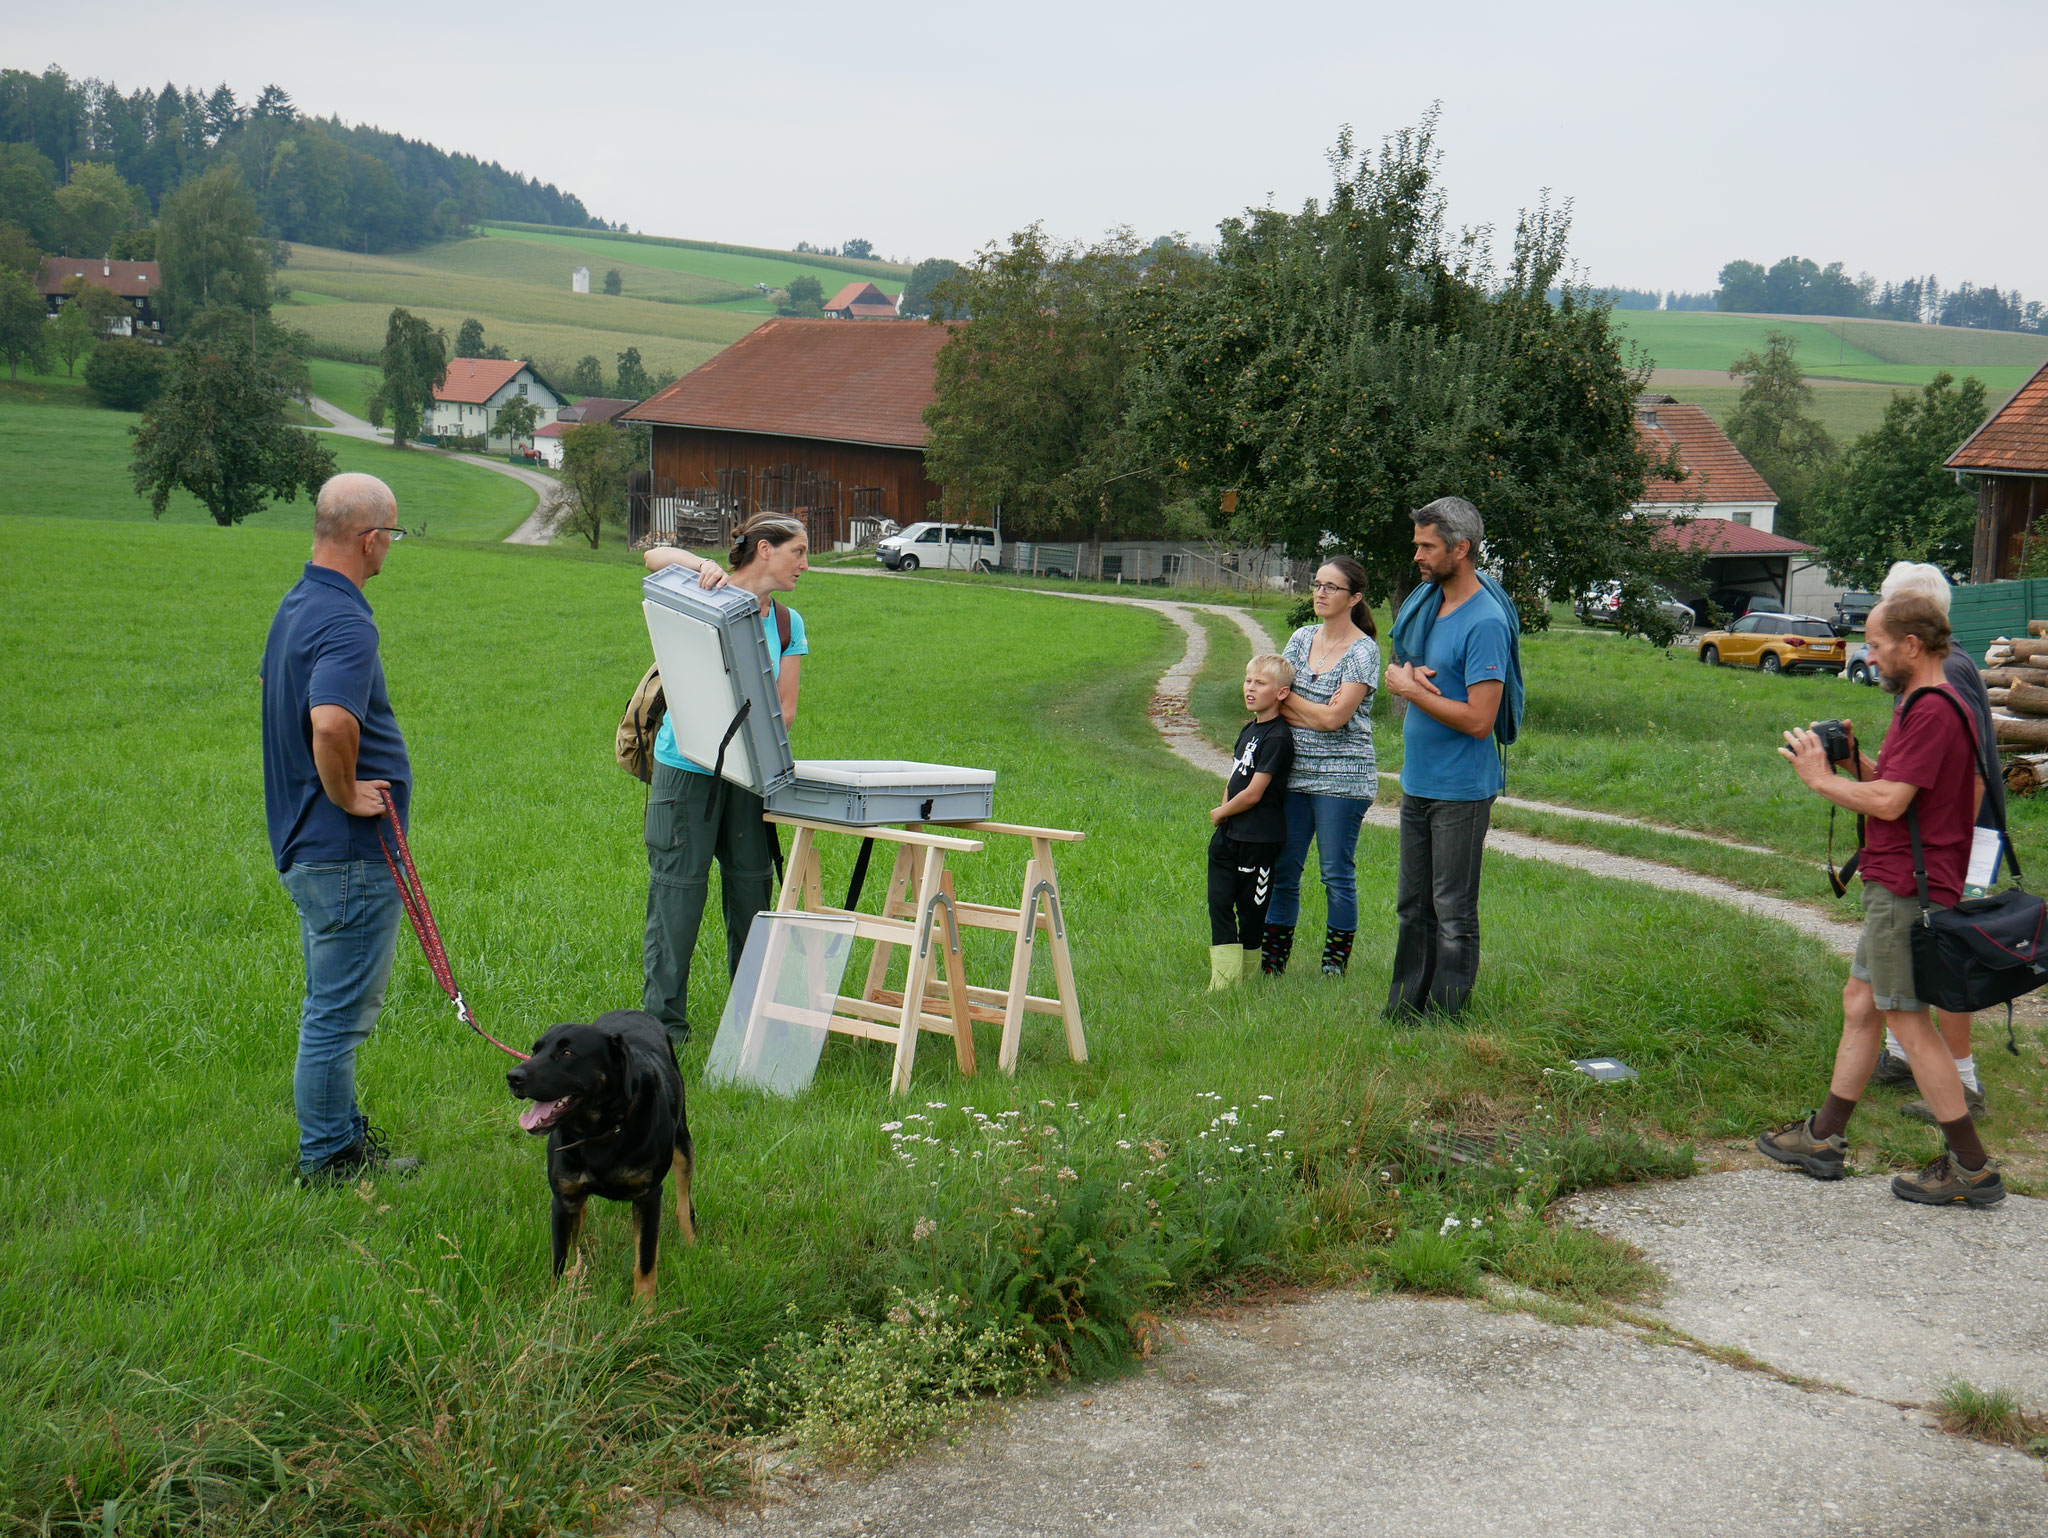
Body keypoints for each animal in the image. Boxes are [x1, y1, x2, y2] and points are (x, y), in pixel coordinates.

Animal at [503, 1011, 696, 1302]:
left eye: (568, 1053)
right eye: (535, 1050)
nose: (513, 1077)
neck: (600, 1131)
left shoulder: (648, 1196)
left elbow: (645, 1261)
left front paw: (644, 1308)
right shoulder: (562, 1199)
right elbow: (558, 1261)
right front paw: (556, 1302)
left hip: (682, 1141)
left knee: (684, 1201)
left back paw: (692, 1242)